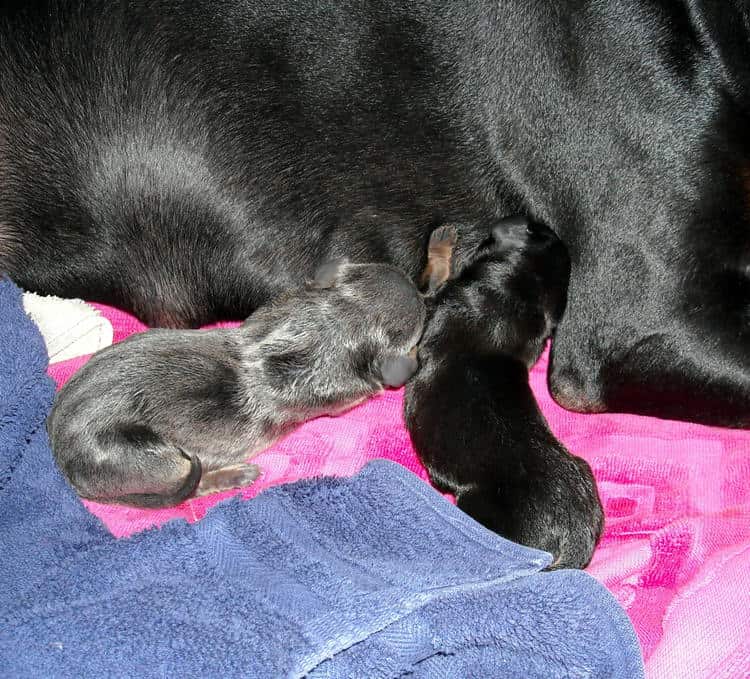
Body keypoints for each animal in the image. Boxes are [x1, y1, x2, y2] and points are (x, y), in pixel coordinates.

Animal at [47, 262, 426, 508]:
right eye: (421, 315)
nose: (420, 288)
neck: (333, 318)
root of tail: (62, 462)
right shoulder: (343, 393)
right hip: (154, 461)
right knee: (191, 484)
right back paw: (236, 476)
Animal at [406, 220, 604, 572]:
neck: (515, 291)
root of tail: (571, 541)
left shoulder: (435, 306)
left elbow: (431, 281)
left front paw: (442, 243)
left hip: (479, 507)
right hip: (583, 469)